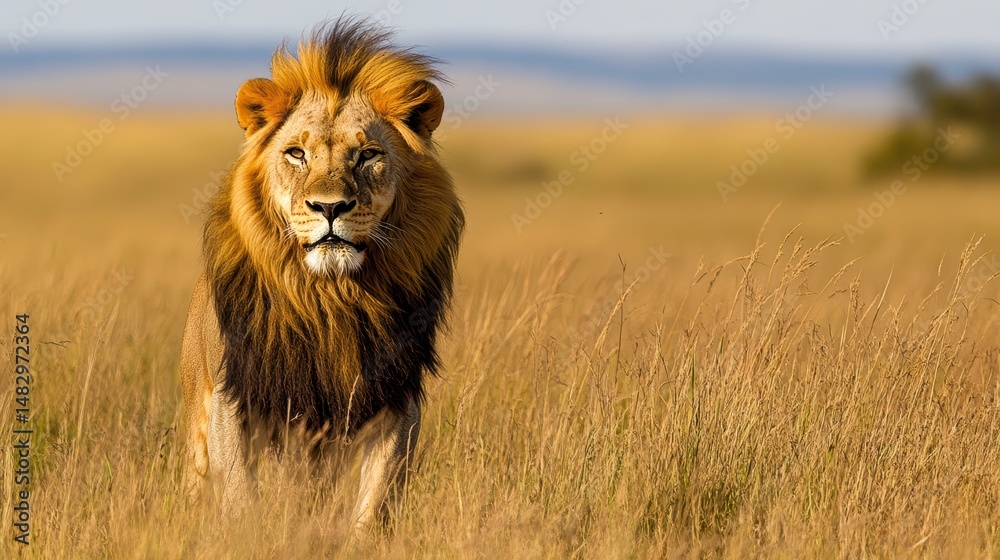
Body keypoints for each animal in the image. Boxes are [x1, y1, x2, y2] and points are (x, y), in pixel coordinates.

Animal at [179, 19, 464, 532]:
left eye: (368, 154)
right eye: (296, 153)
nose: (330, 207)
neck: (330, 297)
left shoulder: (396, 399)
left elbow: (375, 504)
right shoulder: (237, 395)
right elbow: (241, 496)